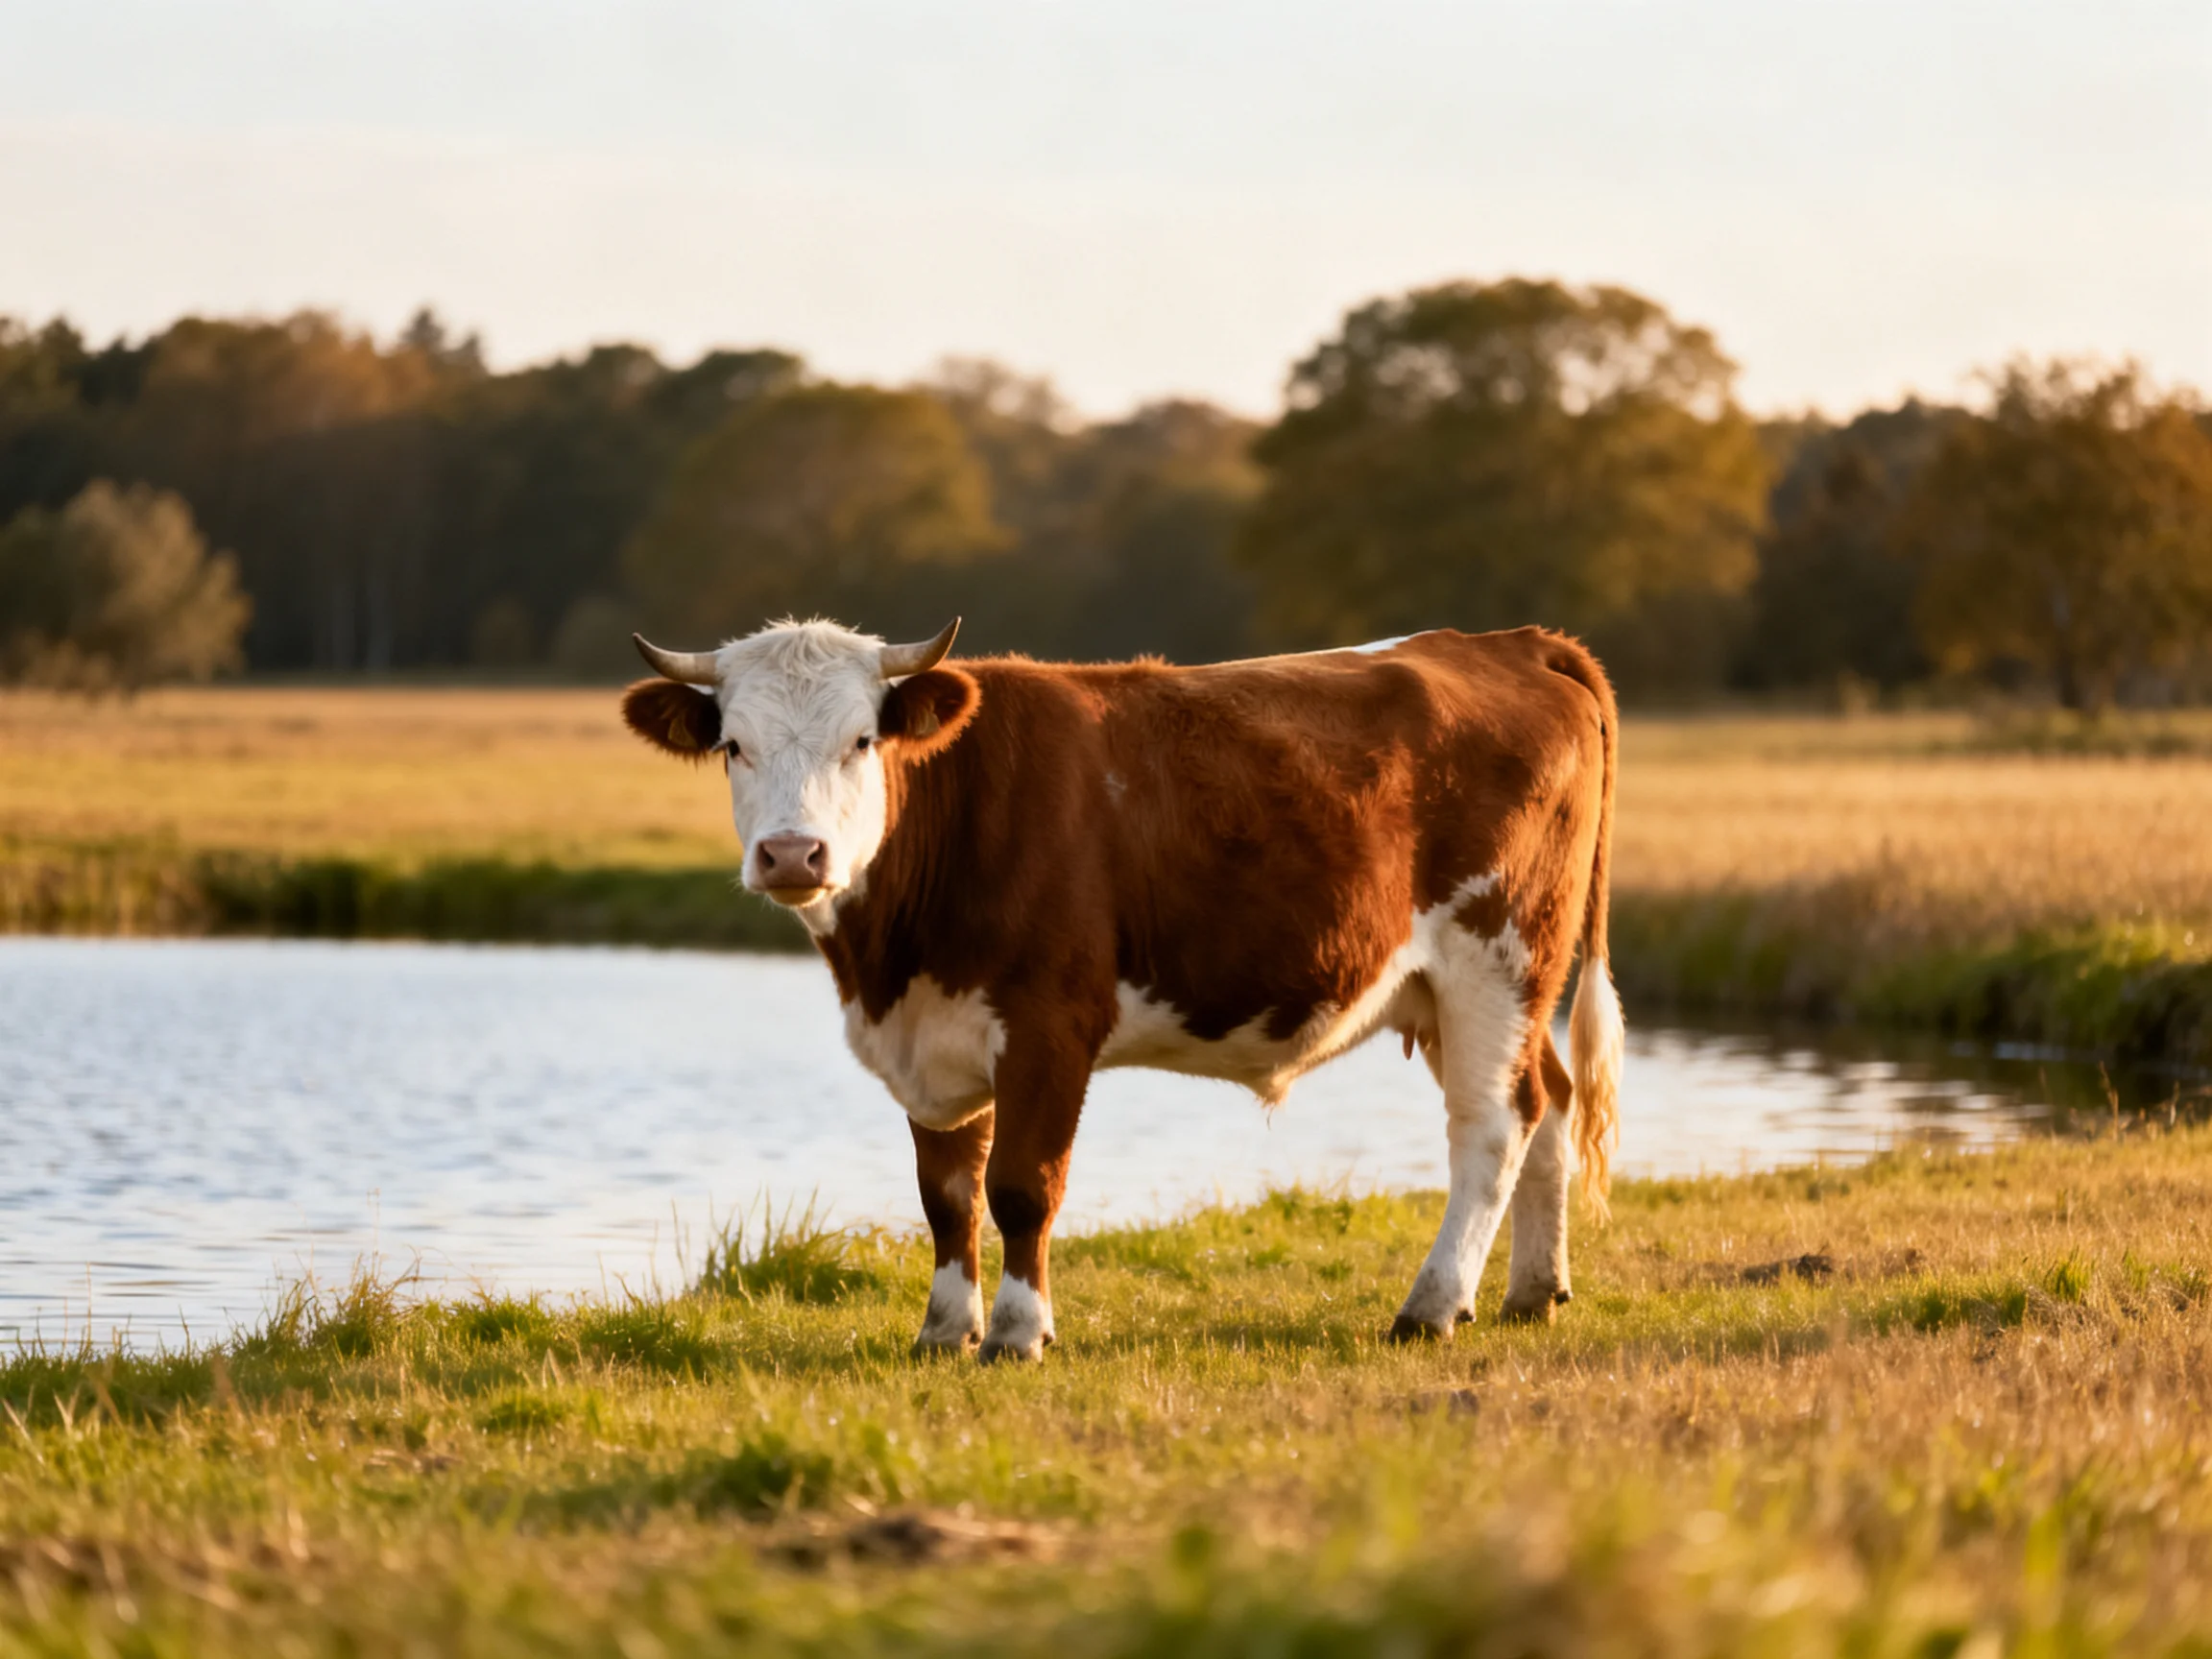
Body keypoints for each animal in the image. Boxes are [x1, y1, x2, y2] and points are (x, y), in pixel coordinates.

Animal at [621, 618, 1625, 1362]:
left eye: (862, 740)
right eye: (735, 747)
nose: (793, 854)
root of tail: (1511, 641)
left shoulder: (1051, 1024)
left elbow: (1022, 1186)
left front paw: (1018, 1335)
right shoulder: (933, 1036)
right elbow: (945, 1192)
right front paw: (944, 1332)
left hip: (1497, 953)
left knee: (1493, 1124)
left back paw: (1431, 1307)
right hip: (1470, 988)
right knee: (1549, 1099)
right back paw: (1534, 1293)